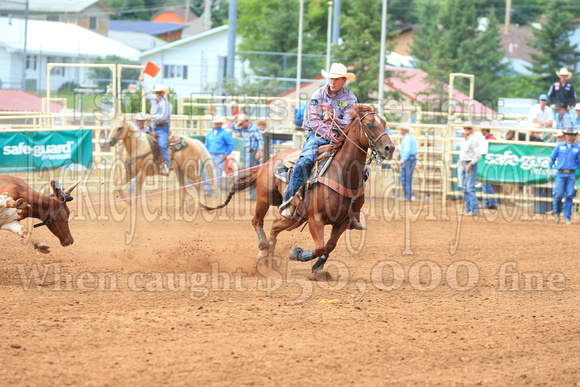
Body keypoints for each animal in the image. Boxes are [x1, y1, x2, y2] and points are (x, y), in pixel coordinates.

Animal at [202, 104, 396, 278]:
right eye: (370, 124)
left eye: (384, 123)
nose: (390, 148)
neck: (342, 173)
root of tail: (270, 160)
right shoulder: (315, 219)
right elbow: (319, 247)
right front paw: (296, 253)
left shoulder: (343, 221)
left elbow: (329, 246)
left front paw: (317, 269)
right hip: (265, 198)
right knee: (257, 221)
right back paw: (263, 248)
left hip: (295, 216)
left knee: (274, 226)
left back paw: (268, 258)